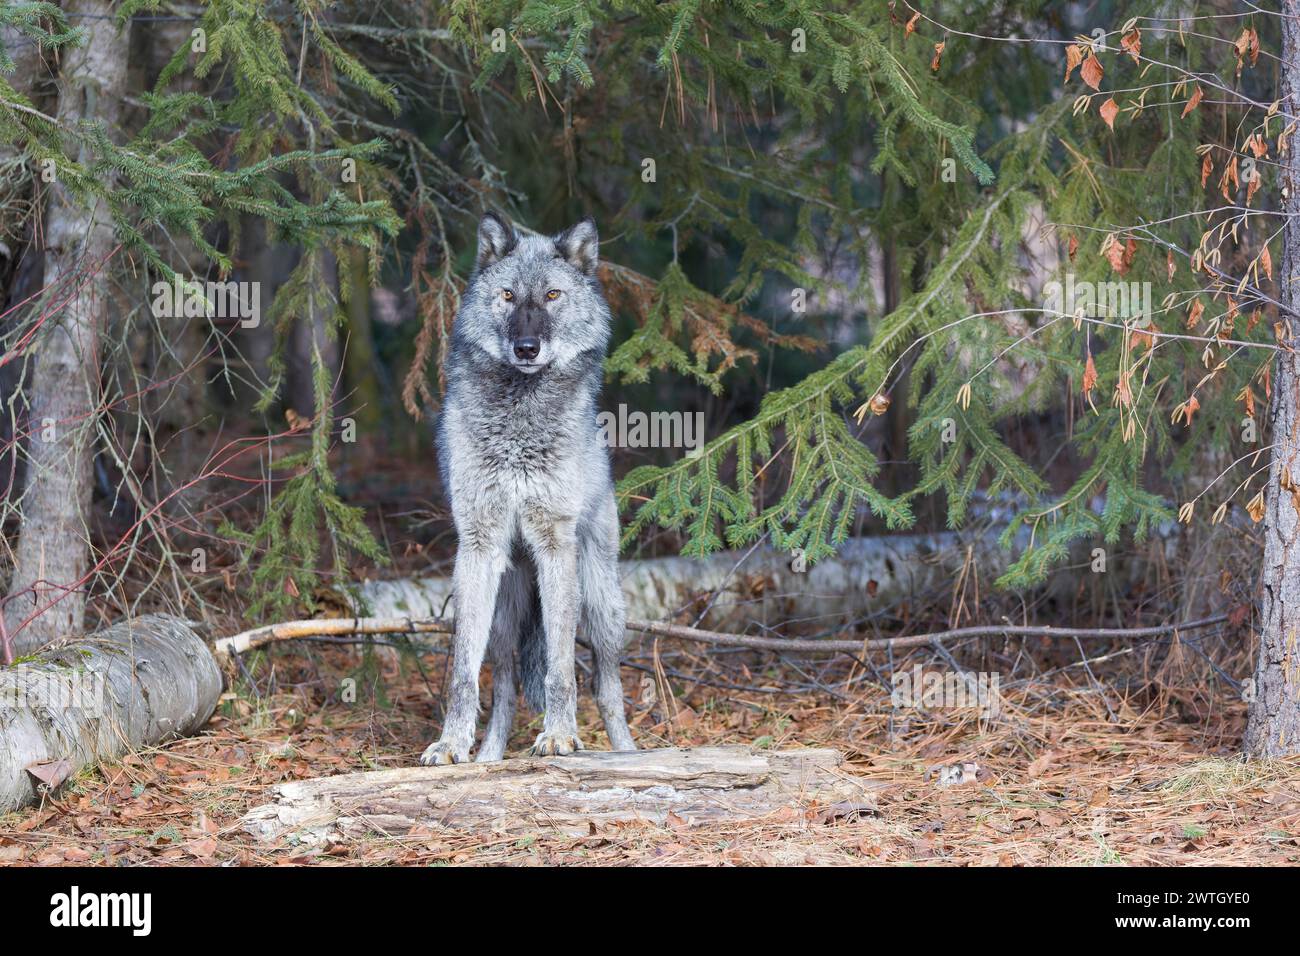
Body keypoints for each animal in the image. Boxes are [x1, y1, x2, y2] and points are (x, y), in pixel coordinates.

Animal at [420, 212, 636, 764]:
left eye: (553, 295)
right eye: (509, 296)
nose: (526, 348)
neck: (519, 422)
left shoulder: (555, 544)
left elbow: (561, 670)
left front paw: (559, 736)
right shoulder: (477, 547)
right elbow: (462, 676)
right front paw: (450, 744)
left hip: (601, 605)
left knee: (607, 688)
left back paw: (629, 754)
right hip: (503, 614)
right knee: (506, 689)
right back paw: (488, 759)